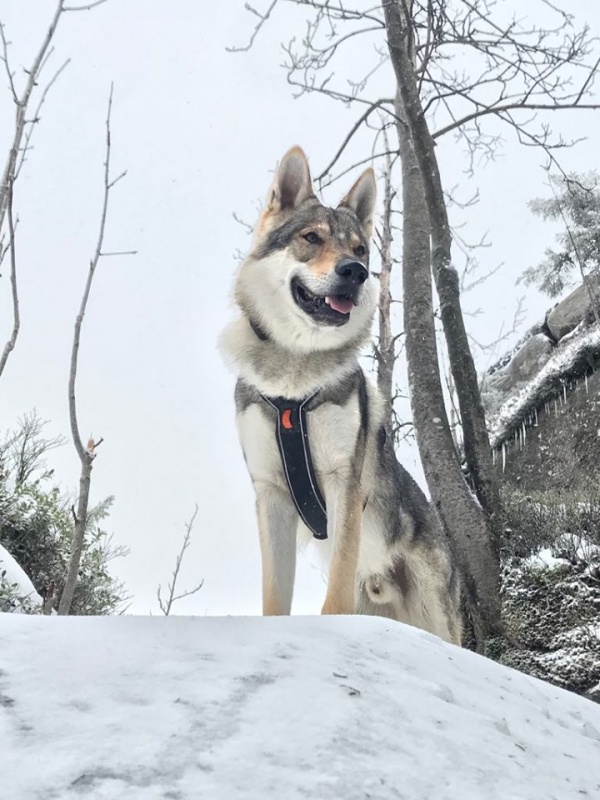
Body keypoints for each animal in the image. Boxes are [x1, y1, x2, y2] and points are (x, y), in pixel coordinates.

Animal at [223, 144, 462, 644]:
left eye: (360, 249)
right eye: (312, 238)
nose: (356, 272)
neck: (293, 381)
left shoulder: (344, 484)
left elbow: (332, 598)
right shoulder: (270, 495)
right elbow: (275, 597)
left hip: (437, 616)